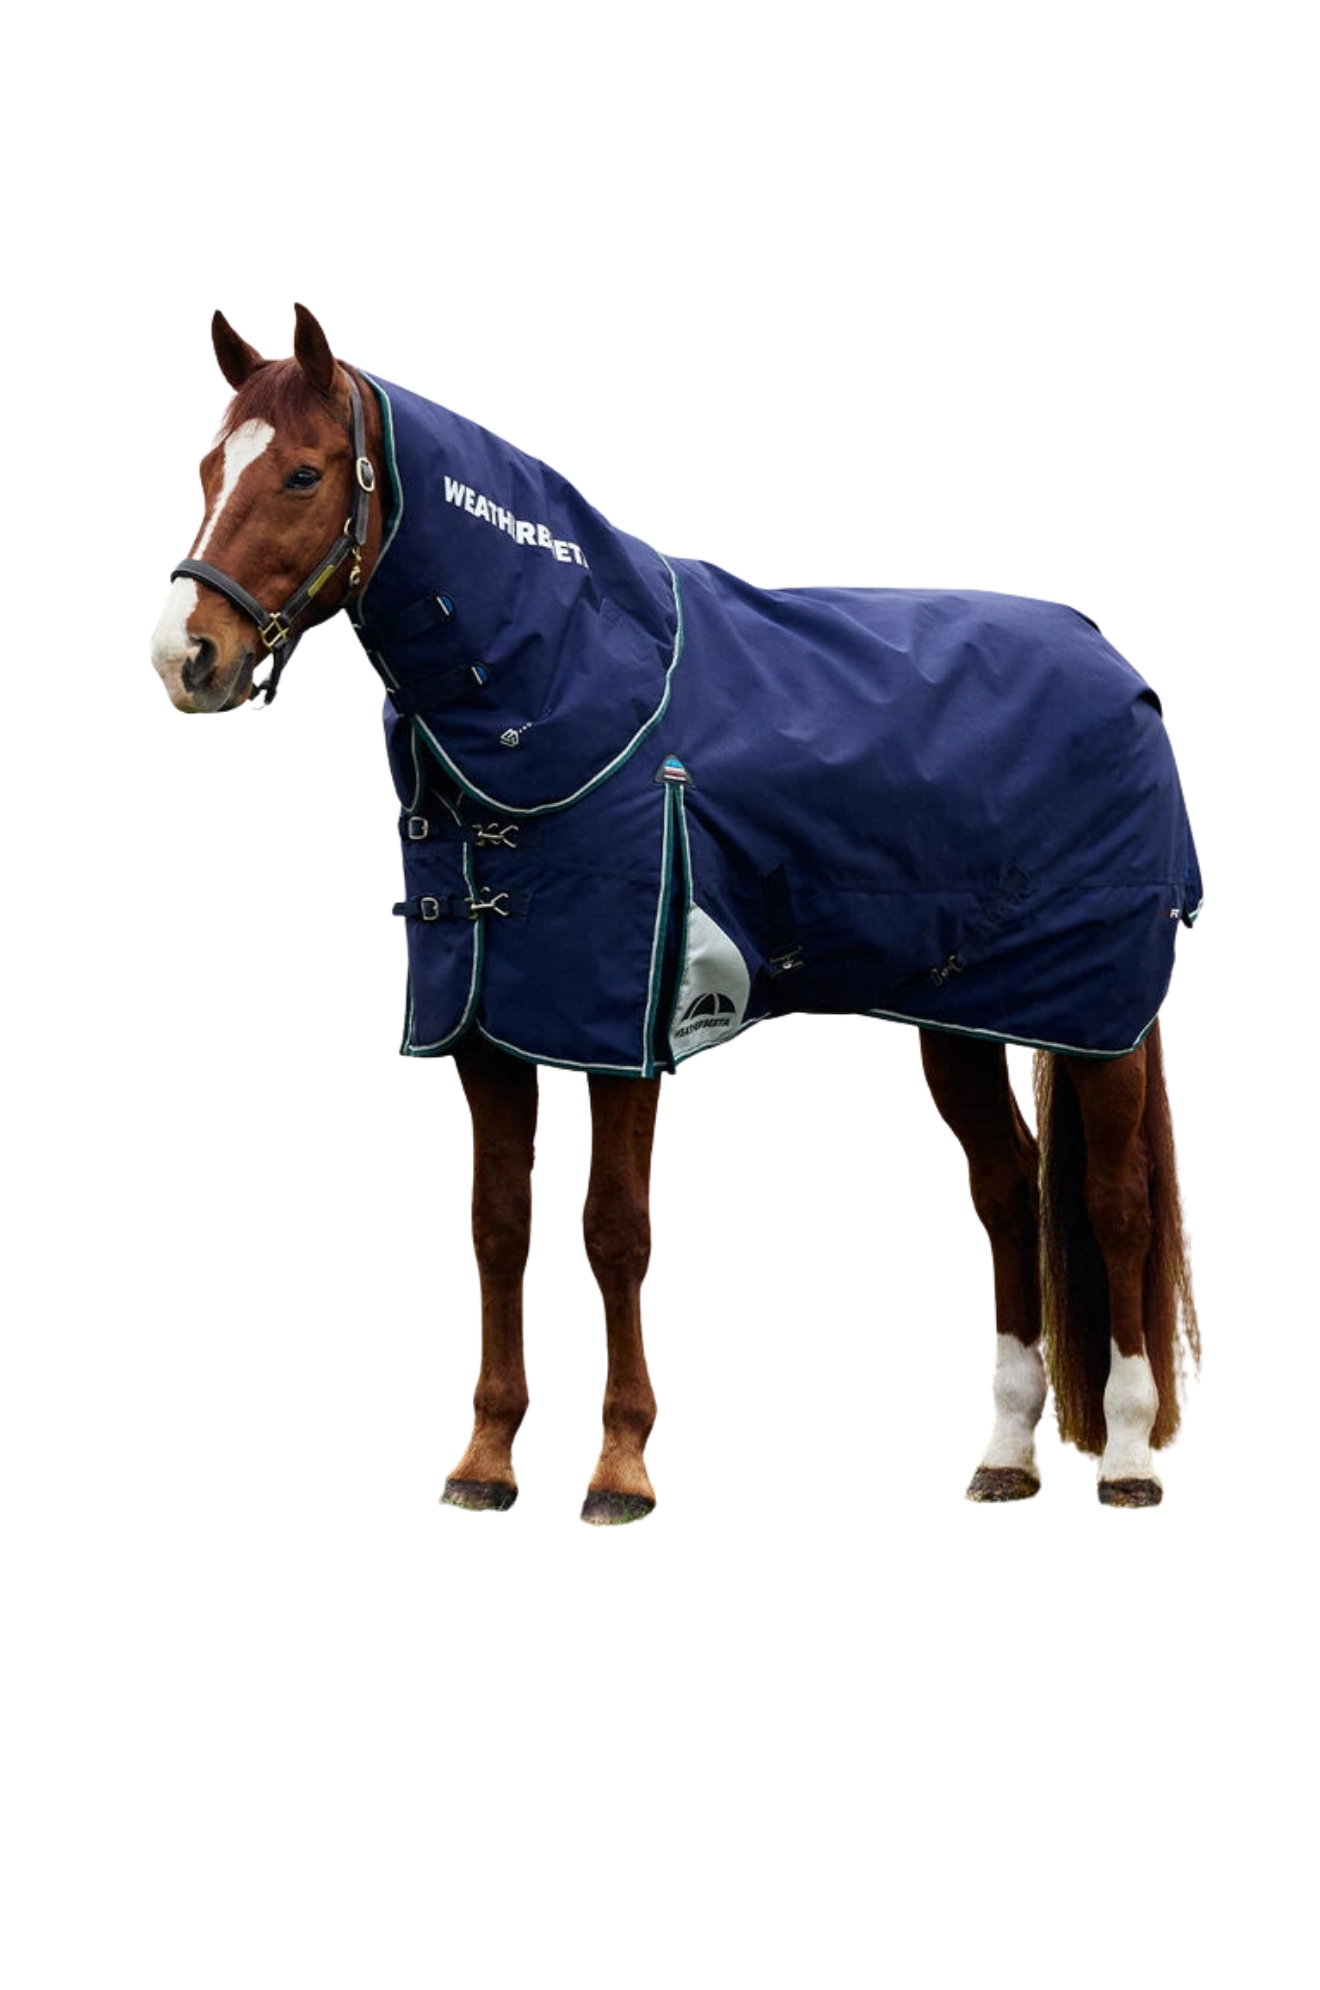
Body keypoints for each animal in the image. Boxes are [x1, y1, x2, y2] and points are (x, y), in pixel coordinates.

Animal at [149, 304, 1204, 1523]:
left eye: (305, 473)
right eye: (207, 471)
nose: (184, 659)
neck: (575, 682)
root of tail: (1117, 667)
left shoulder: (626, 1024)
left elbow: (614, 1227)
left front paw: (619, 1469)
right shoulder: (489, 1023)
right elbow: (498, 1223)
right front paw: (484, 1460)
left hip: (1101, 1023)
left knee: (1117, 1204)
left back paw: (1126, 1460)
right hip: (960, 1020)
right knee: (1005, 1198)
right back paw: (1006, 1456)